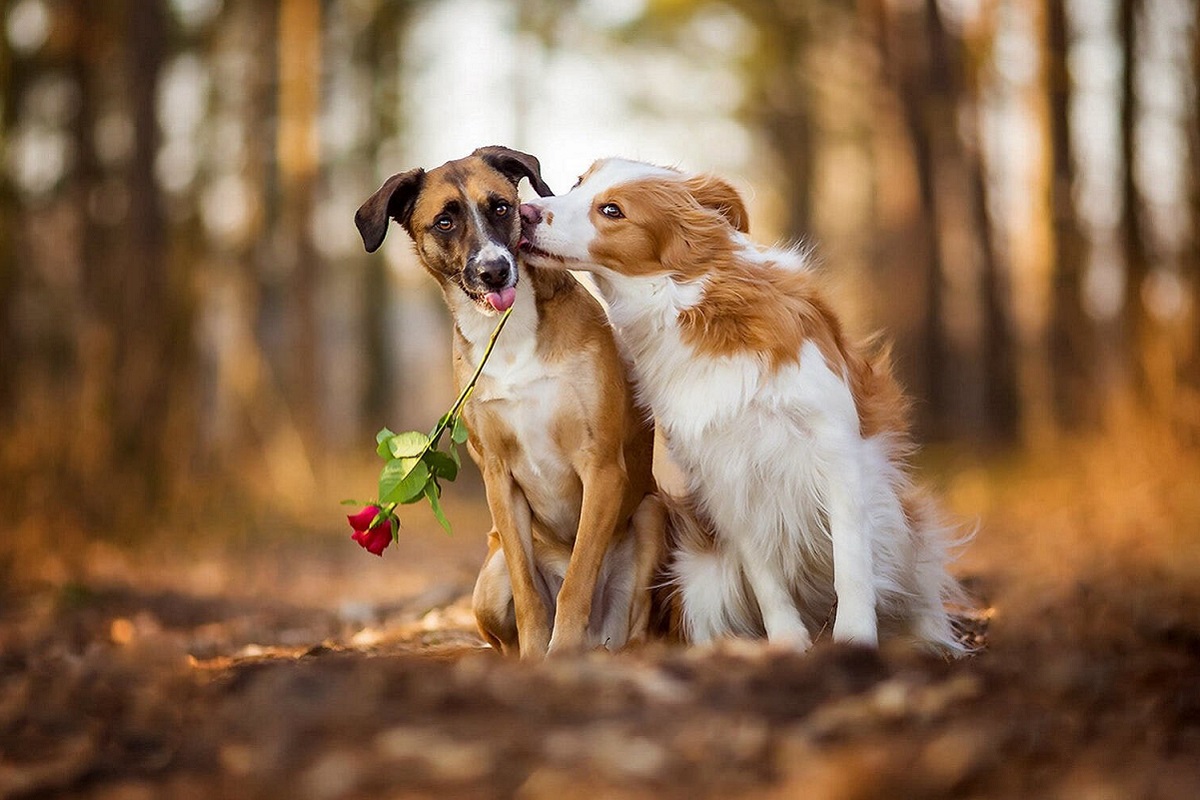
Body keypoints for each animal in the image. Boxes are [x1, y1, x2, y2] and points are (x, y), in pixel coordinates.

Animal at [350, 145, 667, 657]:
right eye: (444, 221)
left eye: (500, 206)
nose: (494, 269)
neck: (511, 335)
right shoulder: (498, 477)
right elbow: (529, 592)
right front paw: (537, 656)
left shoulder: (601, 466)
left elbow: (577, 579)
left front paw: (560, 653)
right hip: (487, 577)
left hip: (652, 516)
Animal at [523, 159, 964, 652]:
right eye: (577, 184)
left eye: (612, 210)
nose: (524, 212)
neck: (691, 305)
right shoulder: (723, 472)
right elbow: (764, 575)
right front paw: (788, 641)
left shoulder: (837, 451)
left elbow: (851, 561)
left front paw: (854, 639)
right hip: (699, 575)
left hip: (908, 530)